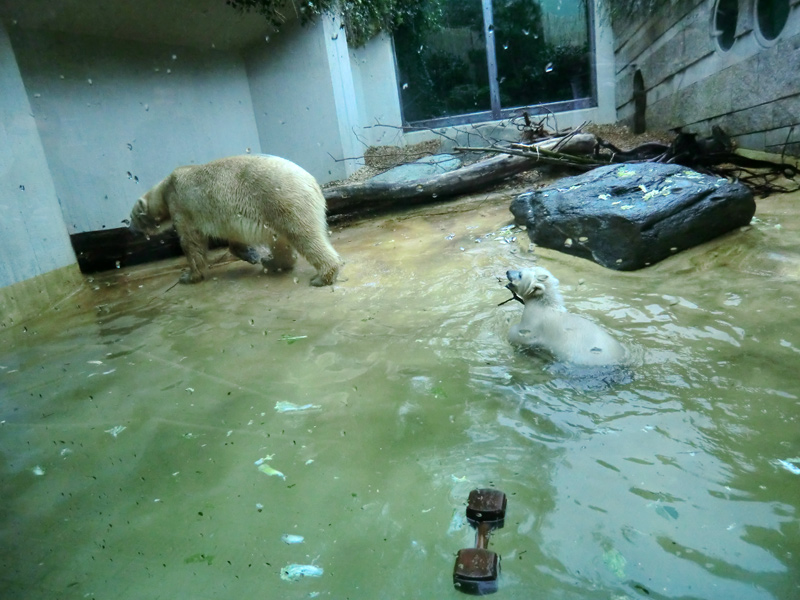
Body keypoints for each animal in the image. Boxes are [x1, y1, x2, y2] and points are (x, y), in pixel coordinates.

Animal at [130, 155, 342, 286]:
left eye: (131, 218)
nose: (131, 229)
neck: (165, 187)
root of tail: (312, 182)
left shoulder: (182, 205)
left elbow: (192, 242)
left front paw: (188, 276)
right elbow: (235, 235)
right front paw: (251, 254)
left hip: (283, 201)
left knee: (303, 236)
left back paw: (322, 277)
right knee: (280, 241)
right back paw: (272, 262)